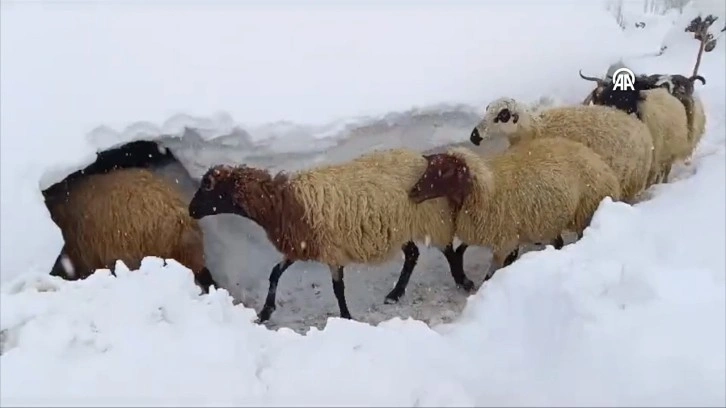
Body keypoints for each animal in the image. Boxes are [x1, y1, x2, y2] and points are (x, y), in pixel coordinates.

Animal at [185, 148, 474, 324]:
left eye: (208, 188)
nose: (190, 210)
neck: (282, 203)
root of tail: (424, 158)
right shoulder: (300, 247)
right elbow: (275, 273)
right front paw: (265, 312)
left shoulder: (331, 251)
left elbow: (337, 289)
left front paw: (346, 317)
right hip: (399, 227)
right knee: (413, 254)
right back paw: (396, 293)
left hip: (430, 217)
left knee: (448, 249)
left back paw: (463, 280)